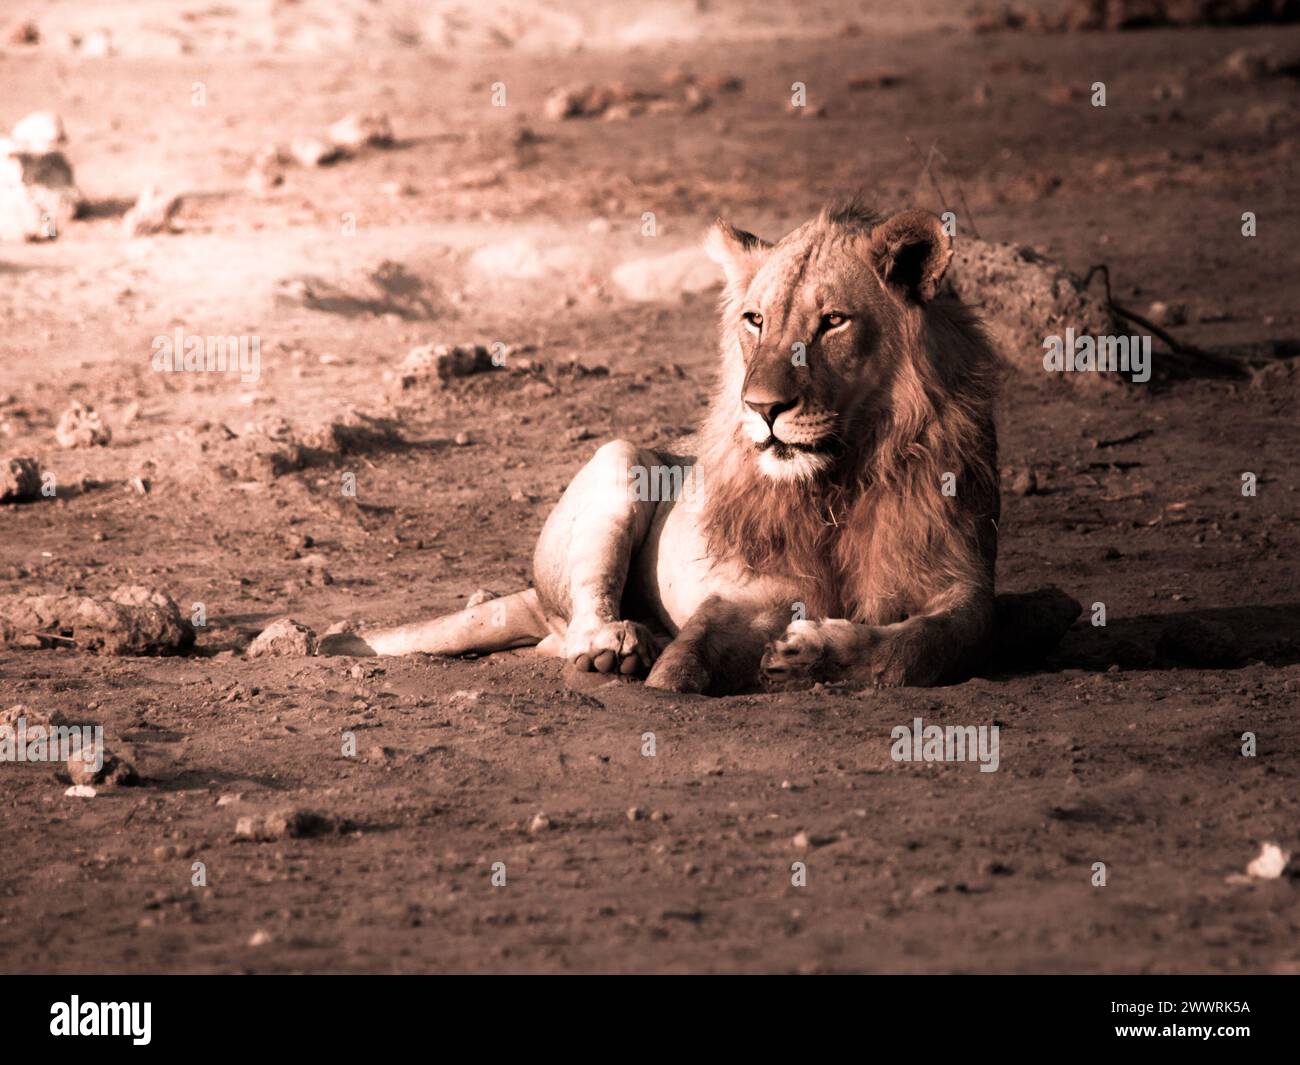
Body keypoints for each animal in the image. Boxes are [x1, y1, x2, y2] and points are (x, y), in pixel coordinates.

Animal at [321, 203, 1079, 692]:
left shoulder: (961, 579)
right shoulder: (748, 585)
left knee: (1061, 604)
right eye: (756, 320)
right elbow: (693, 649)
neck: (841, 476)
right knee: (572, 626)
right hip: (623, 460)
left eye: (833, 321)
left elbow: (926, 643)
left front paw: (812, 653)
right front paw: (676, 667)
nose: (764, 409)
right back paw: (622, 646)